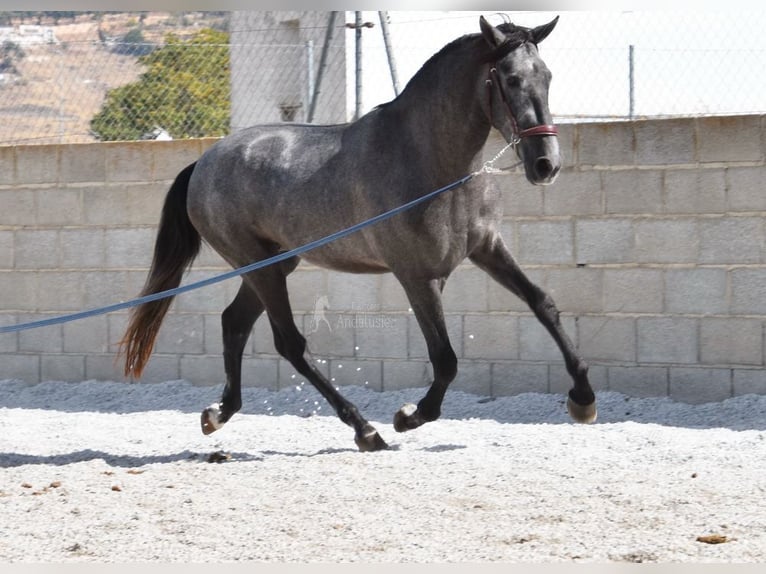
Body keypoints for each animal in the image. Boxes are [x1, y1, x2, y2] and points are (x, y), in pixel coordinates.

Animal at [120, 15, 600, 452]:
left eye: (547, 77)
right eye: (511, 78)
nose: (546, 164)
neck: (433, 161)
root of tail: (204, 161)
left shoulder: (487, 248)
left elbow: (543, 304)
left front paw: (583, 399)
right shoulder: (417, 277)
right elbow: (445, 360)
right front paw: (409, 416)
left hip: (275, 264)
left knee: (234, 323)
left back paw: (219, 414)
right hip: (260, 267)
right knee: (289, 343)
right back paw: (365, 429)